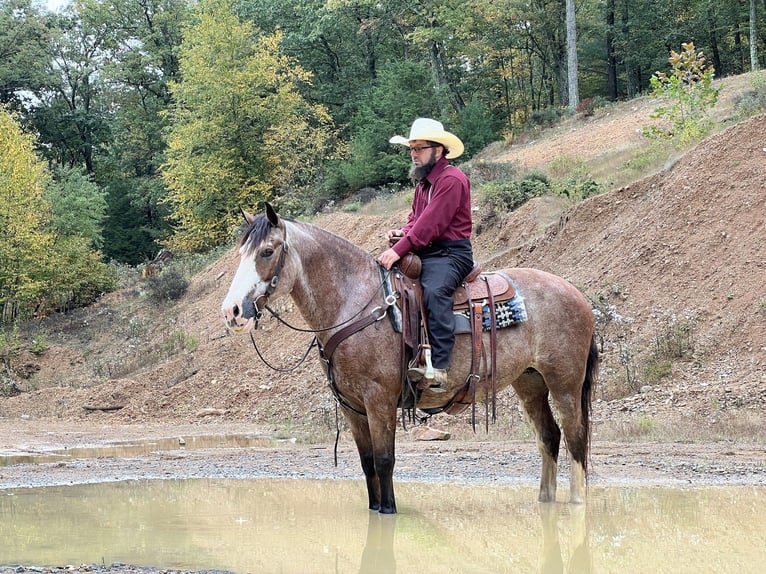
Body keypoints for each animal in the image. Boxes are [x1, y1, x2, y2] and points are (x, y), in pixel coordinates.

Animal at [222, 204, 600, 516]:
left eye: (267, 251)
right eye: (241, 253)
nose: (232, 311)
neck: (355, 302)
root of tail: (577, 294)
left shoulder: (379, 399)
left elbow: (384, 460)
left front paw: (389, 511)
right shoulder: (352, 406)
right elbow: (367, 462)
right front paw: (375, 508)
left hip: (565, 383)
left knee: (576, 436)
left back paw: (577, 501)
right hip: (530, 382)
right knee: (549, 436)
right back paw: (545, 500)